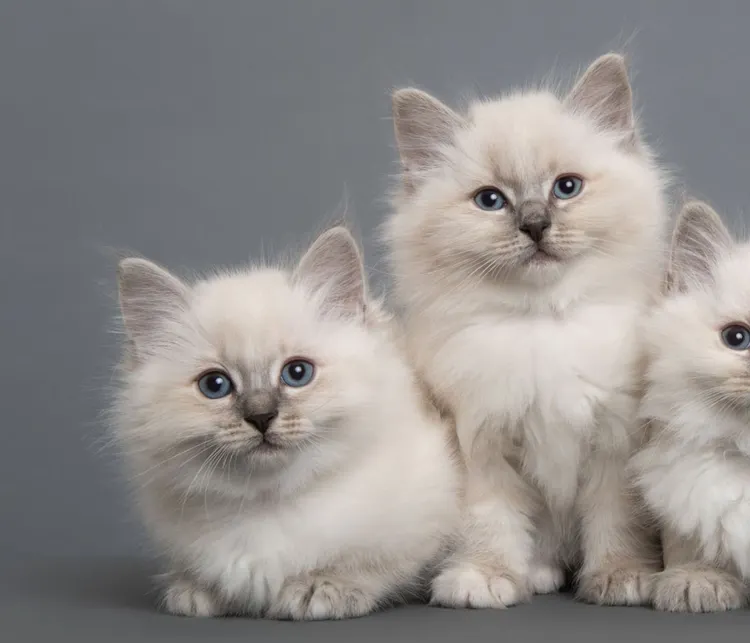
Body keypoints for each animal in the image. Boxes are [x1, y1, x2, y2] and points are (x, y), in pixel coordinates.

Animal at [111, 226, 462, 620]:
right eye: (215, 385)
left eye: (297, 373)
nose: (260, 416)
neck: (266, 505)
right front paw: (195, 592)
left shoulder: (425, 518)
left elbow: (370, 565)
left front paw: (319, 589)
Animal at [384, 51, 668, 608]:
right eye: (490, 200)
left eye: (567, 188)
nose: (535, 224)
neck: (541, 326)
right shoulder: (481, 444)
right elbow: (490, 523)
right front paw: (484, 578)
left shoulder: (616, 441)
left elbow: (617, 521)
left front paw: (621, 577)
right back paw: (535, 572)